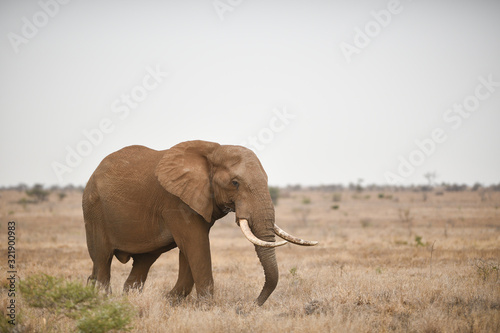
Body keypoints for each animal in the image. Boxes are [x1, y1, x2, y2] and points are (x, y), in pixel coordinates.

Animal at [81, 139, 316, 304]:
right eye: (235, 183)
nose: (251, 305)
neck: (213, 151)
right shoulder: (176, 201)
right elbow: (197, 246)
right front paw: (206, 307)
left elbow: (189, 252)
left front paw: (170, 302)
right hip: (93, 210)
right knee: (102, 259)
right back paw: (103, 301)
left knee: (142, 263)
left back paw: (127, 300)